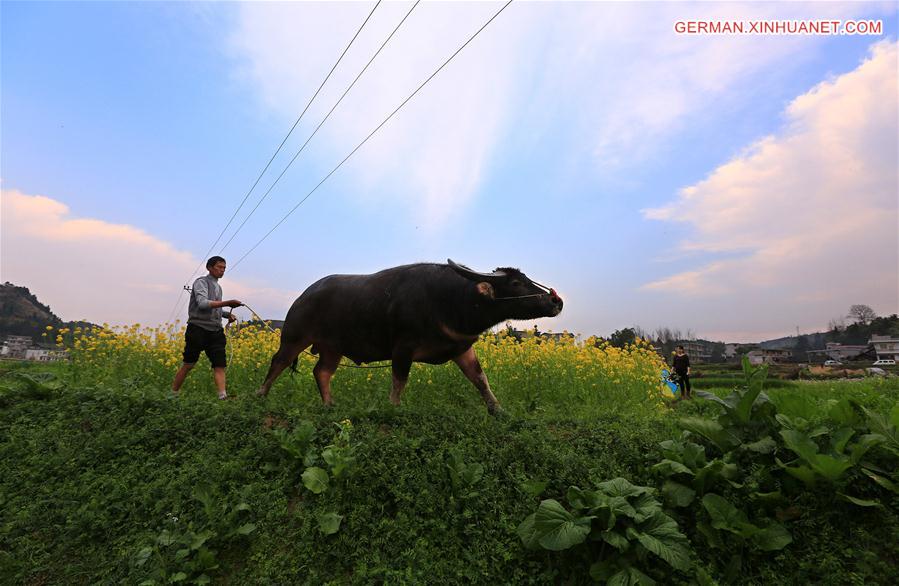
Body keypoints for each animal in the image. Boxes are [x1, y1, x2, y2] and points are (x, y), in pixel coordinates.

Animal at [255, 258, 564, 412]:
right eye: (515, 283)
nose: (555, 301)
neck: (451, 300)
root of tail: (303, 296)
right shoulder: (402, 348)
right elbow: (399, 381)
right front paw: (394, 408)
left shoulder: (462, 348)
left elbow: (480, 379)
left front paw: (497, 409)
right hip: (294, 336)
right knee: (278, 362)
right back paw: (260, 396)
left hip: (333, 347)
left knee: (322, 372)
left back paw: (330, 405)